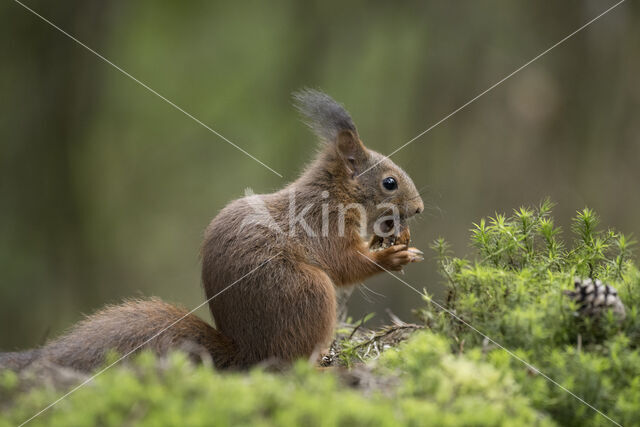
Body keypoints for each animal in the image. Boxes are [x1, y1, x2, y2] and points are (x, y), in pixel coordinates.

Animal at [1, 91, 424, 374]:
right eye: (389, 183)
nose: (419, 209)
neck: (336, 192)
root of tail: (246, 354)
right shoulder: (322, 224)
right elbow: (345, 264)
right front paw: (392, 256)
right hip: (311, 293)